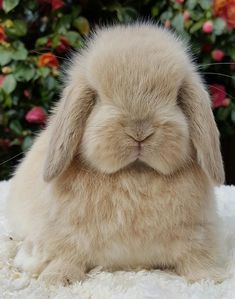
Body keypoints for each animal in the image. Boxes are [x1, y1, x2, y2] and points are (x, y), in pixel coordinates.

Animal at [5, 23, 226, 286]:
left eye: (176, 97)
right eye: (98, 98)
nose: (139, 131)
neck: (135, 176)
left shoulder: (198, 232)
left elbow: (198, 257)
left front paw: (210, 277)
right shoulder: (64, 233)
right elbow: (66, 255)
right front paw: (57, 278)